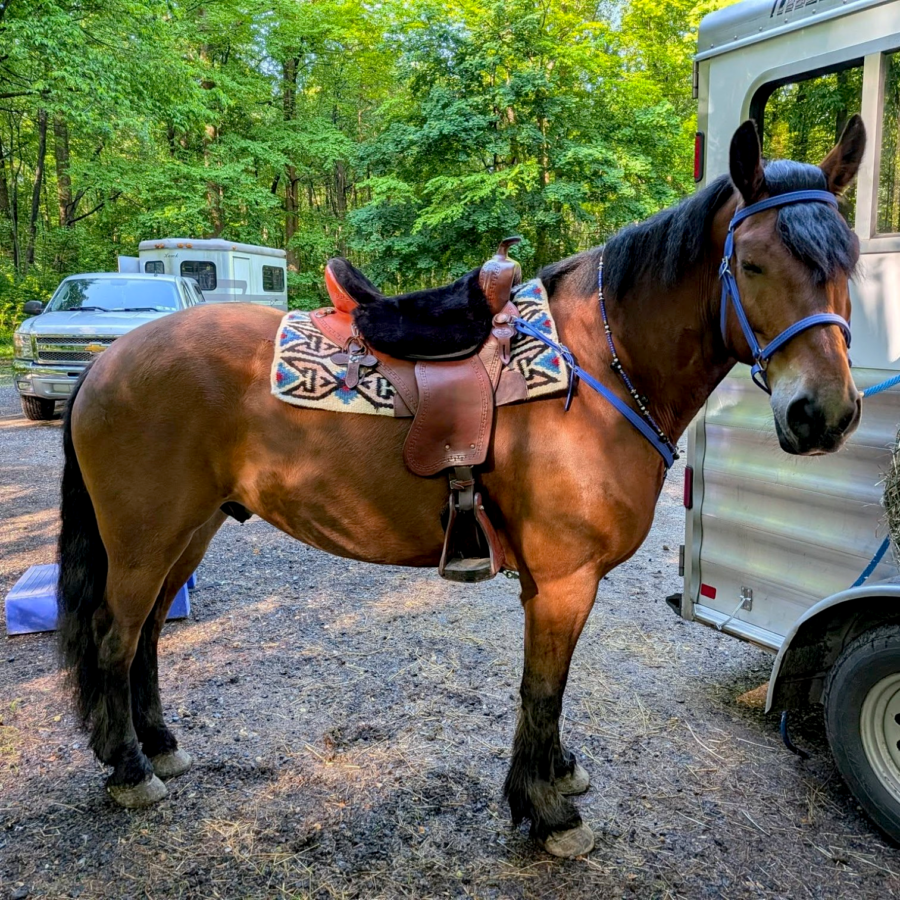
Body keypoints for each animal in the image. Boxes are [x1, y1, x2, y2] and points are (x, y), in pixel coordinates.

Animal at [56, 117, 865, 858]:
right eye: (752, 263)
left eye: (849, 262)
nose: (823, 412)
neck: (598, 366)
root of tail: (108, 361)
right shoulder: (565, 579)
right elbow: (543, 688)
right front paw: (547, 812)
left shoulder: (552, 582)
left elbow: (550, 690)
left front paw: (555, 774)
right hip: (144, 540)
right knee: (115, 637)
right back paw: (129, 770)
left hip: (189, 533)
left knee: (148, 635)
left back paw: (158, 745)